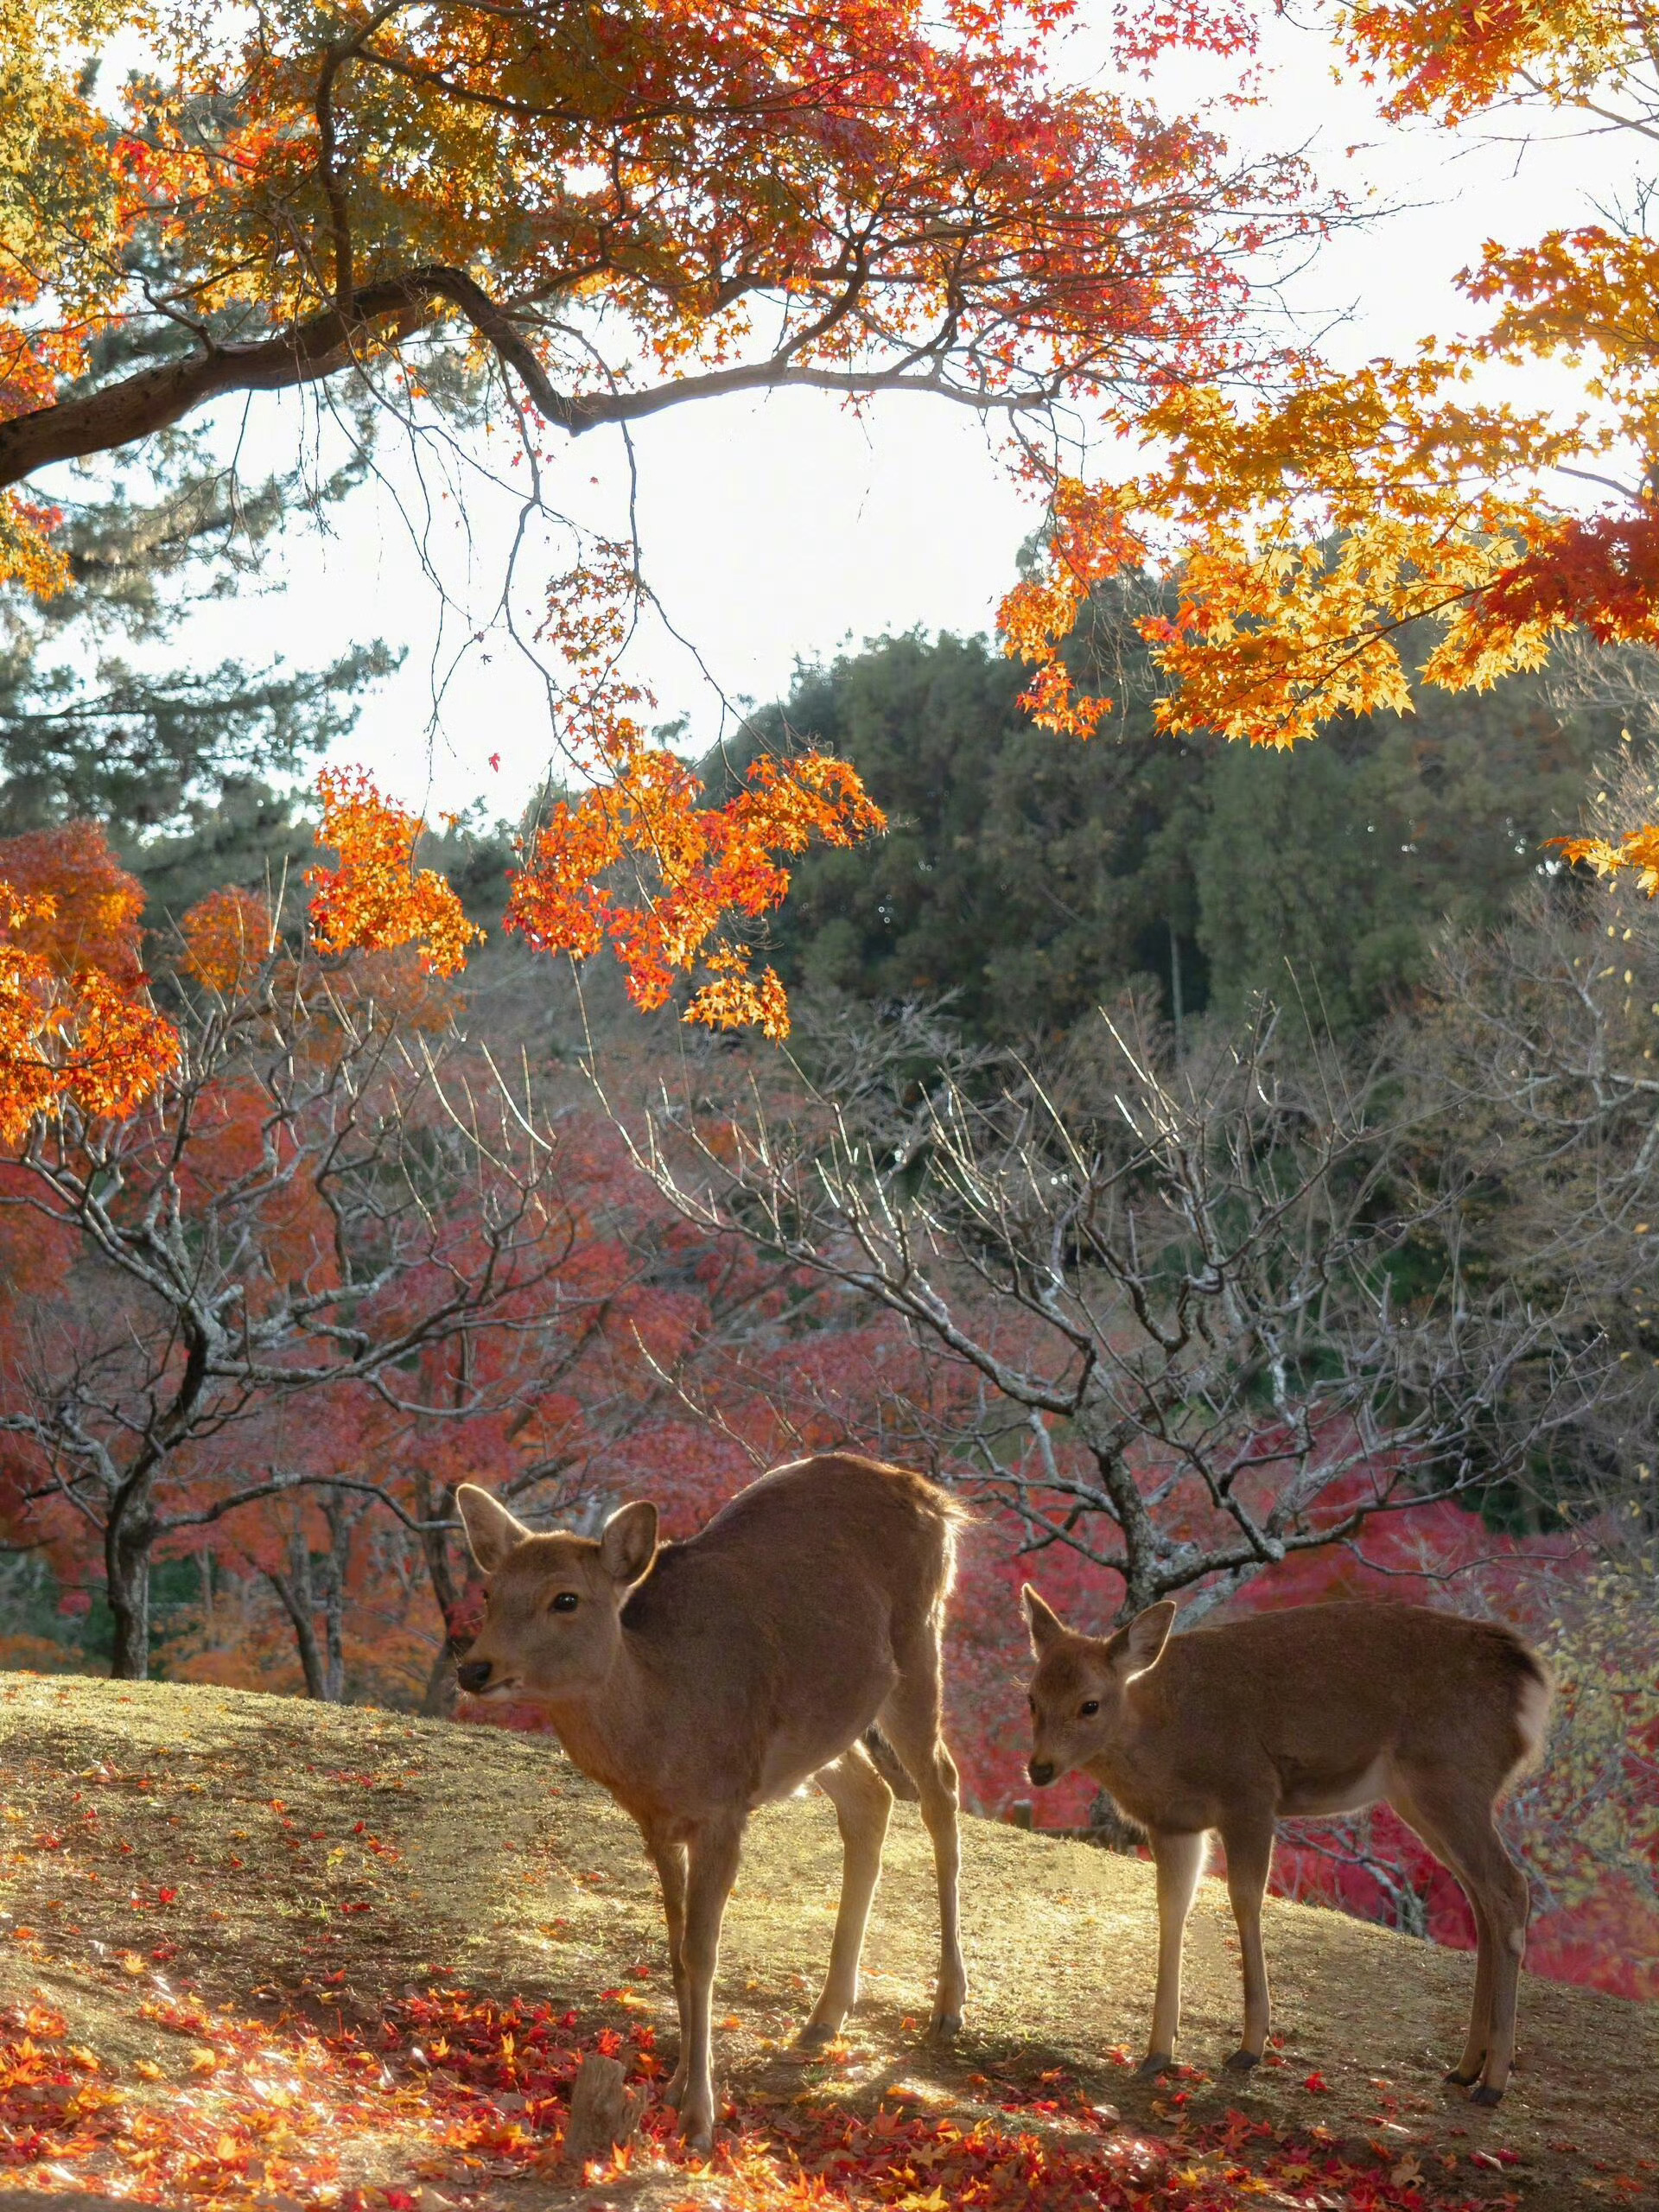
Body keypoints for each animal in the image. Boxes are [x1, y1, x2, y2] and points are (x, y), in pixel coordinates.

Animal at [455, 1459, 973, 2150]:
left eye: (566, 1598)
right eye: (490, 1593)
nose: (474, 1669)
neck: (663, 1729)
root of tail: (939, 1501)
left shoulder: (725, 1808)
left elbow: (704, 1956)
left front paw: (699, 2118)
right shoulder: (657, 1825)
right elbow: (676, 1956)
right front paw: (675, 2085)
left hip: (919, 1643)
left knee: (941, 1789)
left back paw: (948, 2004)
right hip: (825, 1728)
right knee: (872, 1799)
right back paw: (824, 2016)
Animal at [1021, 1592, 1557, 2106]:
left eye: (1090, 1704)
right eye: (1031, 1697)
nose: (1039, 1768)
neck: (1168, 1742)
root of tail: (1531, 1679)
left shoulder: (1251, 1794)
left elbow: (1245, 1901)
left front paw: (1249, 2046)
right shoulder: (1175, 1825)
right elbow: (1172, 1911)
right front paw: (1157, 2052)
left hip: (1452, 1776)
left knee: (1510, 1888)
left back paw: (1494, 2081)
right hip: (1425, 1797)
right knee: (1482, 1900)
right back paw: (1466, 2067)